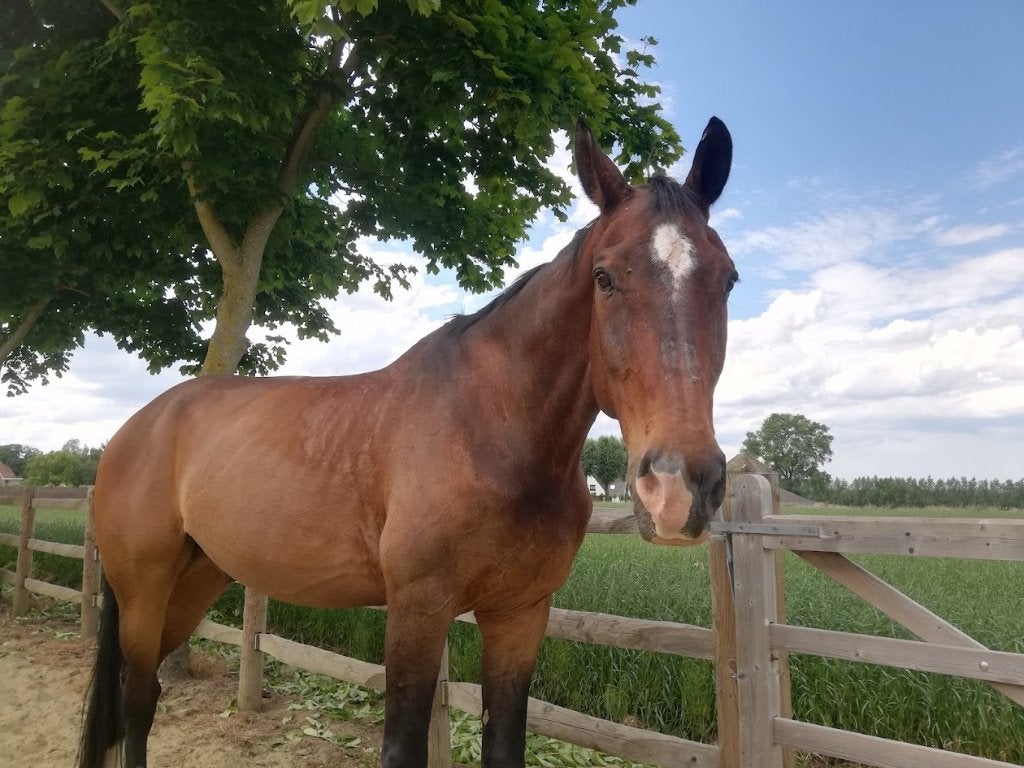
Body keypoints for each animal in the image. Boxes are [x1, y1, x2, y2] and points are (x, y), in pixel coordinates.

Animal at [78, 116, 735, 768]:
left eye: (729, 279)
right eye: (604, 277)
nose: (679, 487)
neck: (492, 432)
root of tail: (136, 427)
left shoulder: (520, 614)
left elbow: (504, 744)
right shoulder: (418, 609)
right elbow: (401, 744)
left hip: (194, 582)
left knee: (143, 695)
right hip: (144, 591)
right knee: (135, 699)